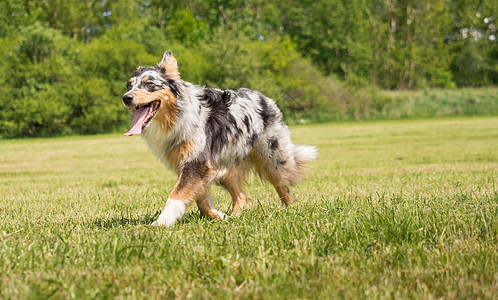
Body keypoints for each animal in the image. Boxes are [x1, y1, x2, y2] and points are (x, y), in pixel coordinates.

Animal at [122, 50, 318, 226]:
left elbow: (176, 196)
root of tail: (266, 99)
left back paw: (291, 210)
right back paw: (235, 216)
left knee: (283, 186)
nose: (126, 98)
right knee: (241, 195)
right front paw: (219, 215)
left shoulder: (196, 163)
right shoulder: (199, 167)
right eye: (129, 85)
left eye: (149, 84)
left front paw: (162, 222)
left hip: (272, 159)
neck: (178, 114)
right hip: (225, 166)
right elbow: (201, 202)